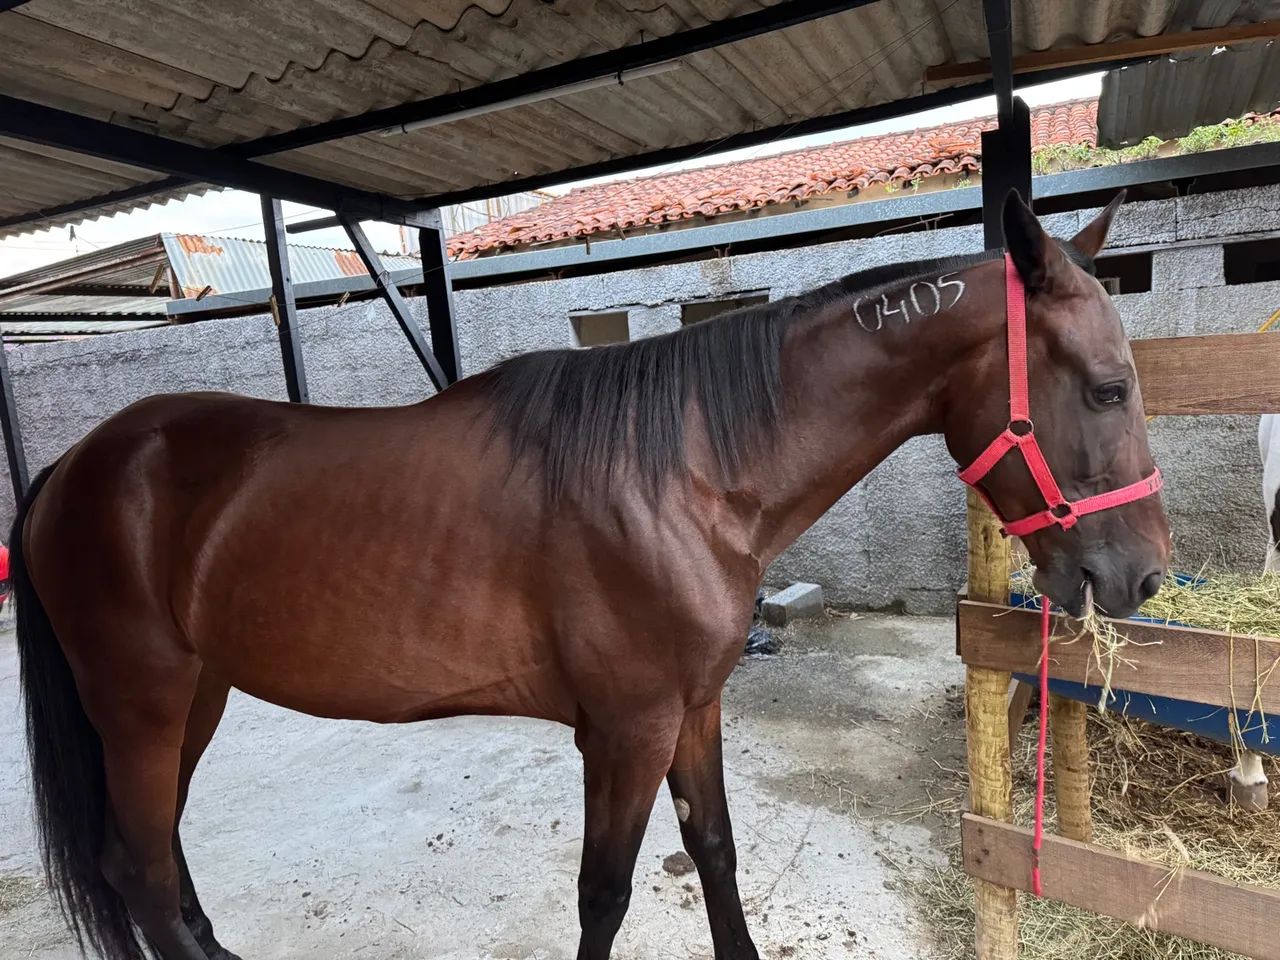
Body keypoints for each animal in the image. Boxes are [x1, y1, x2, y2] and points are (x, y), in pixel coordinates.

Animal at [10, 190, 1170, 960]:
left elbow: (714, 852)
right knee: (143, 873)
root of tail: (78, 466)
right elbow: (603, 893)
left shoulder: (692, 708)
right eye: (1107, 388)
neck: (684, 471)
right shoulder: (624, 729)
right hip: (145, 704)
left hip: (195, 697)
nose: (1144, 577)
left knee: (155, 863)